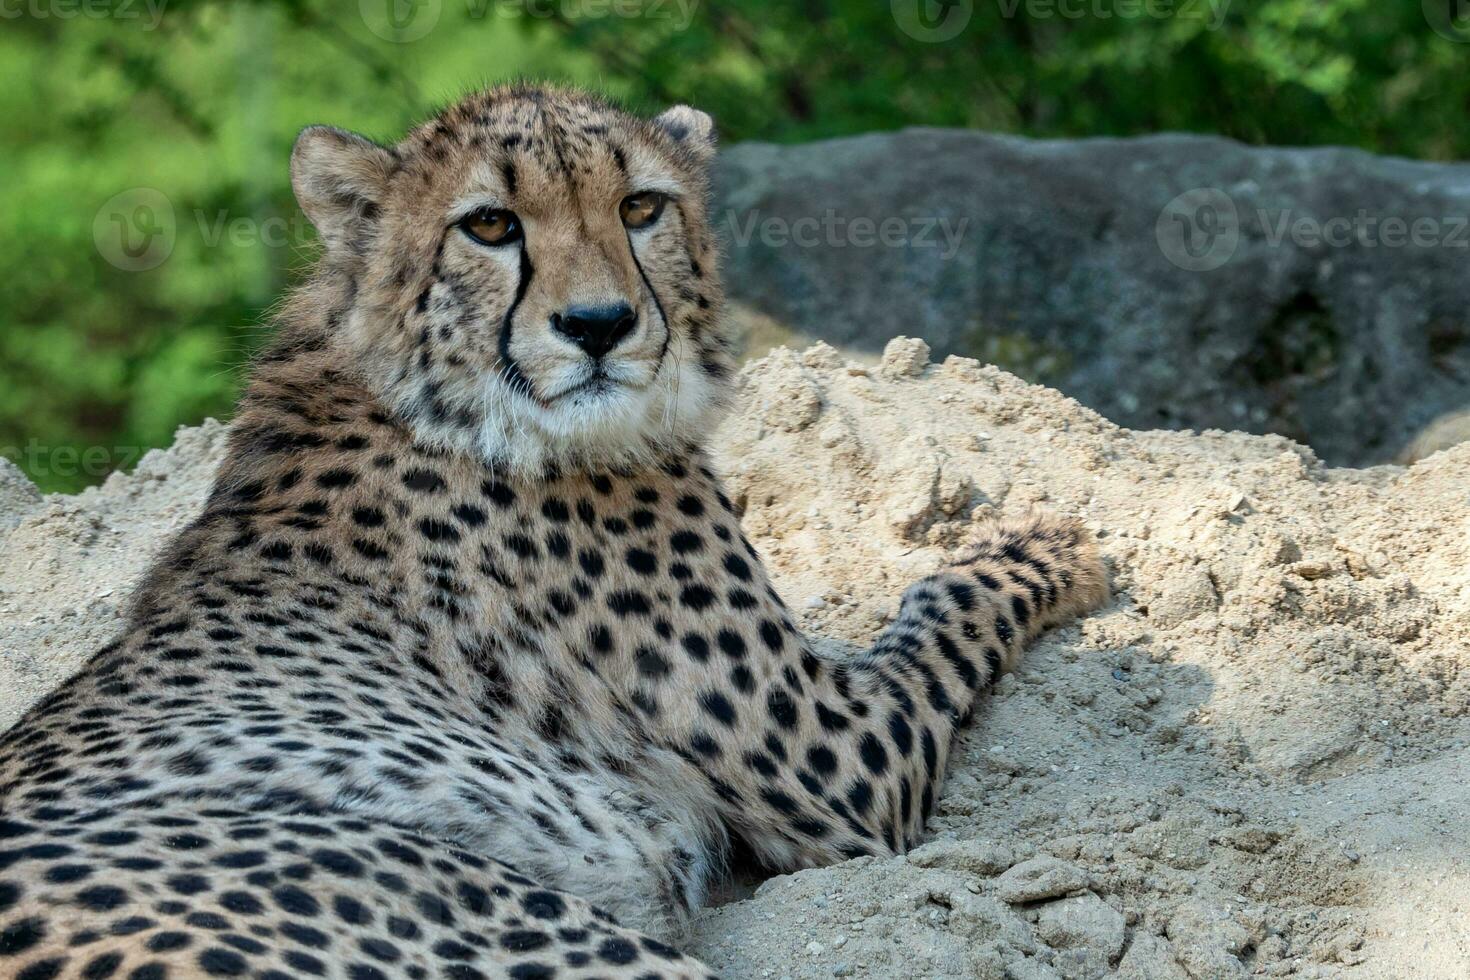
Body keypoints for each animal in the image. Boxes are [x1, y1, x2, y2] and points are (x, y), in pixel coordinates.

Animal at [0, 86, 1105, 980]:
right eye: (490, 224)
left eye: (640, 208)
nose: (600, 324)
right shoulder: (847, 762)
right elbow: (945, 601)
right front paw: (1050, 548)